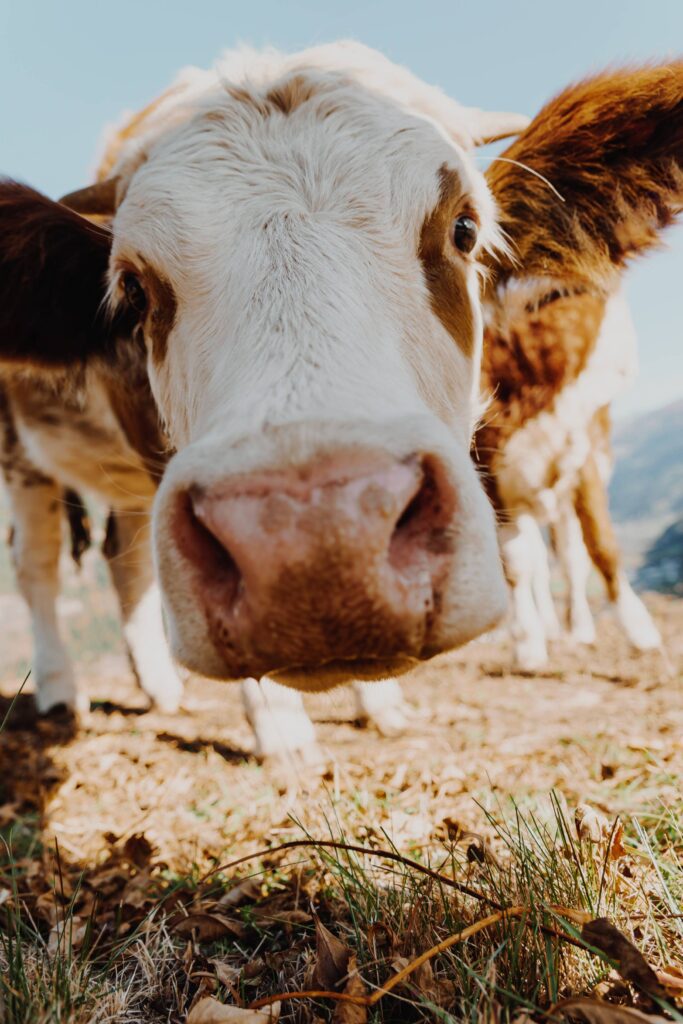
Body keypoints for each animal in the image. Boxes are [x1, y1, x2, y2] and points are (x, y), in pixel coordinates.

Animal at [1, 48, 683, 741]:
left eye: (465, 229)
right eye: (134, 289)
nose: (315, 546)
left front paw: (380, 705)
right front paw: (279, 729)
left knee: (124, 555)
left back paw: (160, 687)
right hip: (22, 458)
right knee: (37, 567)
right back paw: (60, 690)